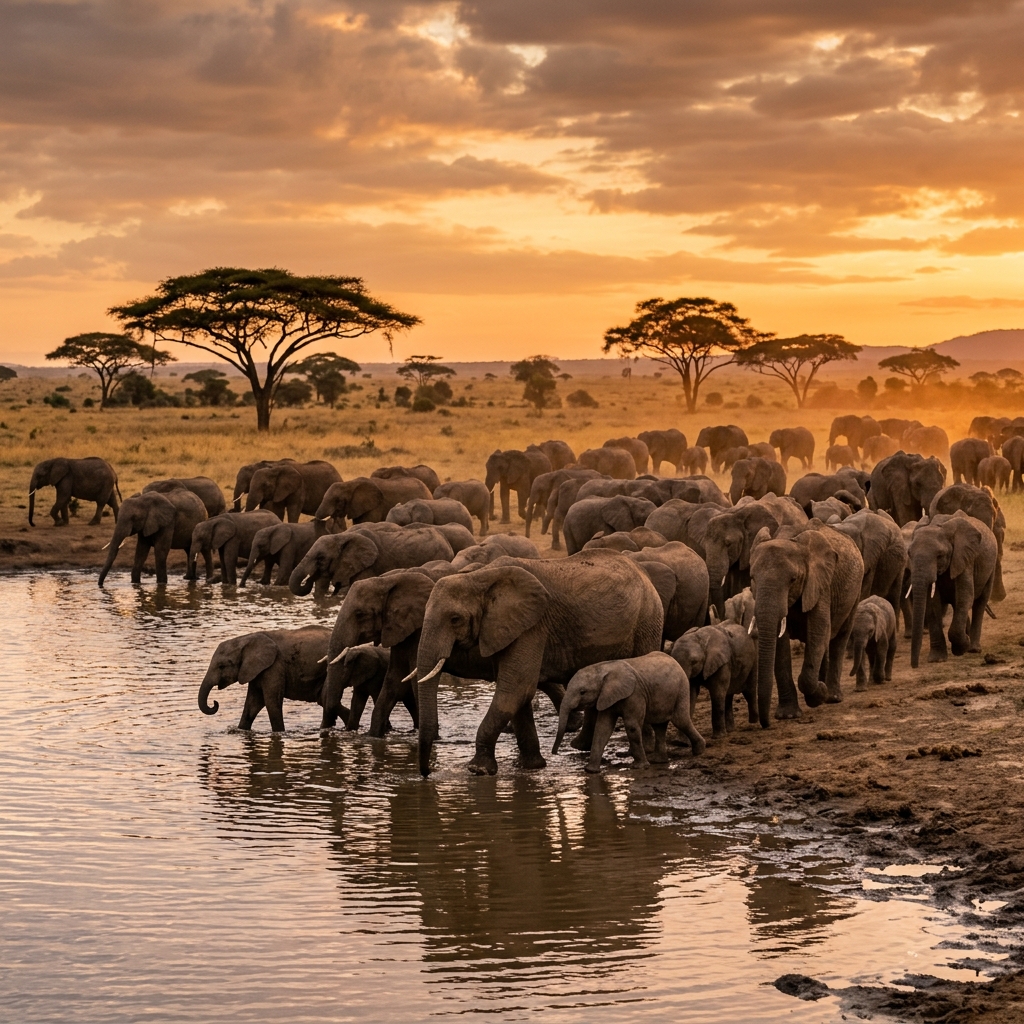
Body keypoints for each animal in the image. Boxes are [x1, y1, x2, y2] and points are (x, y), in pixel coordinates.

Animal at [198, 626, 330, 731]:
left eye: (221, 666)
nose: (215, 703)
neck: (246, 639)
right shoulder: (255, 670)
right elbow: (253, 704)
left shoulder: (274, 666)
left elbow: (271, 702)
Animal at [413, 550, 665, 776]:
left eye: (455, 619)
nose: (426, 774)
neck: (480, 576)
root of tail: (643, 573)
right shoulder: (505, 629)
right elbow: (518, 694)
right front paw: (532, 767)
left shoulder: (532, 627)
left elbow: (516, 689)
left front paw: (479, 770)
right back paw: (579, 746)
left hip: (648, 620)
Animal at [552, 653, 705, 772]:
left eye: (582, 692)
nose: (554, 753)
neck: (602, 668)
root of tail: (674, 660)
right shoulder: (606, 696)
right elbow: (603, 728)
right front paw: (591, 771)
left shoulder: (634, 694)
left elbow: (631, 726)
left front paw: (639, 767)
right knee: (659, 725)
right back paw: (658, 760)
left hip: (682, 688)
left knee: (680, 720)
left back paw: (699, 750)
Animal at [749, 520, 865, 725]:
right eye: (752, 578)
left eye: (793, 580)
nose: (765, 723)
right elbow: (780, 643)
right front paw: (788, 715)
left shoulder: (820, 584)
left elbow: (819, 630)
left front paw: (819, 694)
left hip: (855, 590)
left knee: (840, 637)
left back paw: (832, 697)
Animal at [908, 511, 997, 667]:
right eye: (909, 554)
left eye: (939, 556)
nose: (915, 666)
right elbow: (932, 604)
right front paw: (936, 659)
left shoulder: (965, 558)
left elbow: (965, 596)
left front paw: (961, 648)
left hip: (991, 565)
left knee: (980, 602)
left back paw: (973, 648)